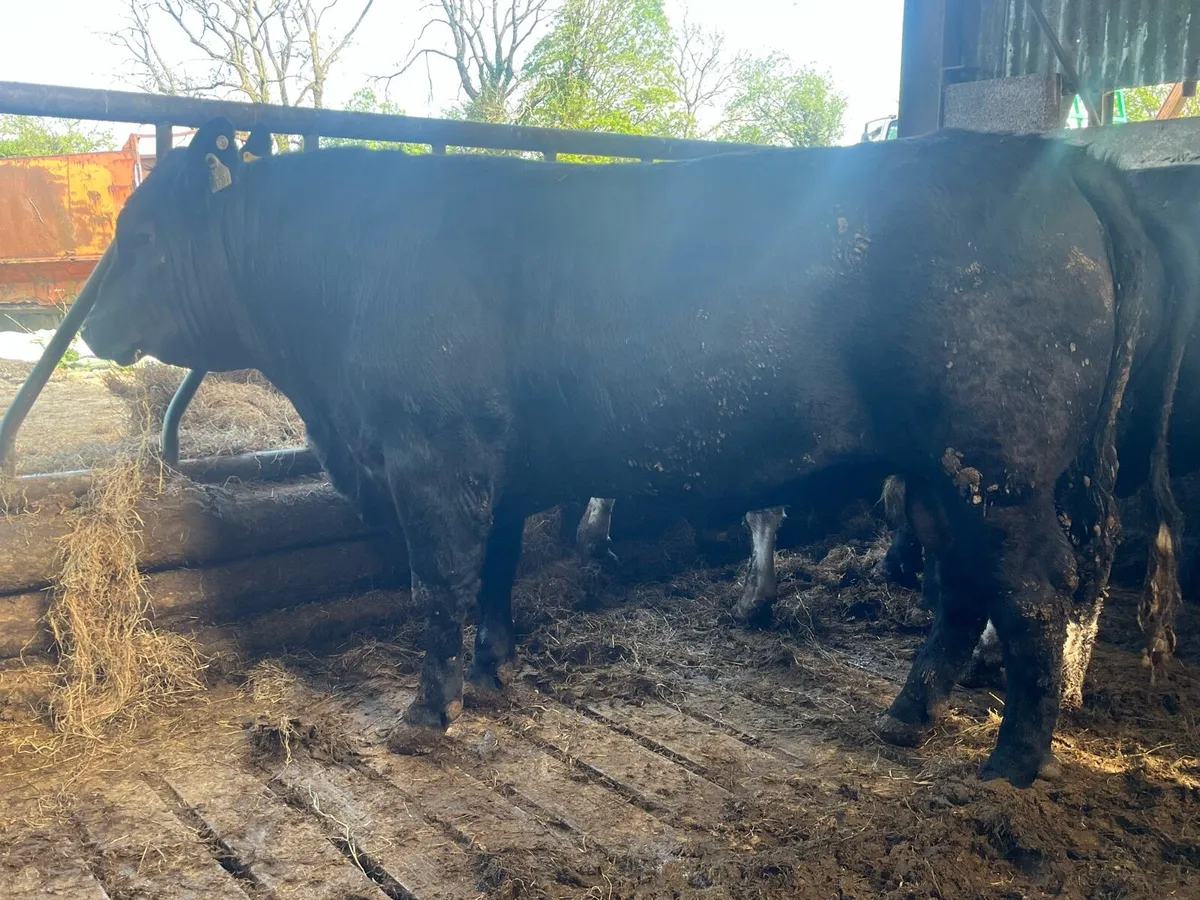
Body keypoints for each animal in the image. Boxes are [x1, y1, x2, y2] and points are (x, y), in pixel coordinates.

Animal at [77, 117, 1194, 787]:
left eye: (142, 233)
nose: (89, 324)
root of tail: (1056, 159)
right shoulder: (497, 465)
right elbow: (495, 573)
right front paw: (491, 672)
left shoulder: (433, 458)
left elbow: (437, 586)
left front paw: (426, 710)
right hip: (940, 472)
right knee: (965, 590)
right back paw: (907, 716)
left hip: (996, 467)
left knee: (1034, 593)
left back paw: (1010, 763)